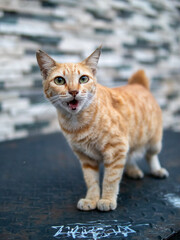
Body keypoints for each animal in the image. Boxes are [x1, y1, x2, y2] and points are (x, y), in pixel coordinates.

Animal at [36, 46, 169, 211]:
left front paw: (106, 199)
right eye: (59, 80)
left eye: (83, 79)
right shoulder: (86, 158)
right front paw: (91, 199)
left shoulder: (116, 149)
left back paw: (157, 170)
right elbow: (91, 181)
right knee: (130, 156)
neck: (77, 123)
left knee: (151, 156)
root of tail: (138, 84)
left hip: (154, 142)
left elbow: (110, 179)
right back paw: (133, 170)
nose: (73, 91)